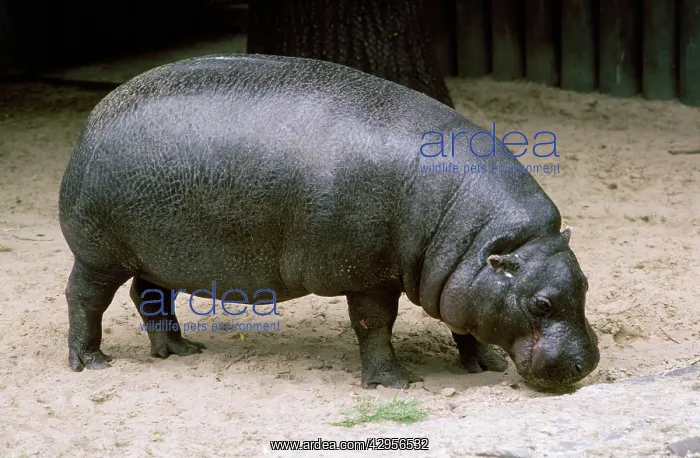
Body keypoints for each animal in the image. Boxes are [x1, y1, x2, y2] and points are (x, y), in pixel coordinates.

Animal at [58, 54, 600, 389]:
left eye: (586, 284)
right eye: (541, 304)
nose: (588, 362)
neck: (477, 238)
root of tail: (95, 116)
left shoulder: (458, 276)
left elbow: (465, 319)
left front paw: (485, 365)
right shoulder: (367, 275)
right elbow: (374, 325)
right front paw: (395, 383)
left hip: (155, 254)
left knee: (150, 297)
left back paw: (179, 350)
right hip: (100, 254)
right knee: (86, 299)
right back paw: (91, 363)